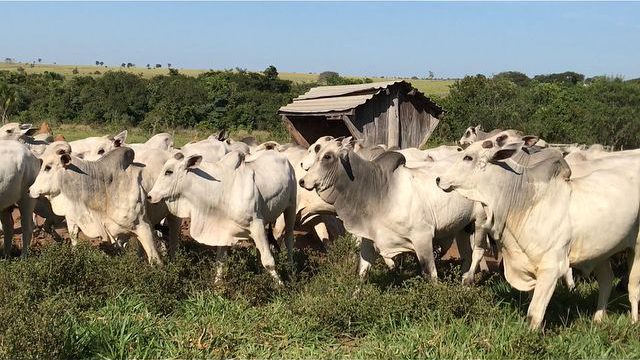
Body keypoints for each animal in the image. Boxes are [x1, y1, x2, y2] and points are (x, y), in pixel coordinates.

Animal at [149, 150, 298, 284]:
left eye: (168, 172)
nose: (150, 196)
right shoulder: (223, 230)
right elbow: (220, 260)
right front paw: (217, 285)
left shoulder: (257, 225)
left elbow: (268, 261)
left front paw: (280, 285)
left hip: (291, 206)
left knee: (289, 238)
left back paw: (291, 267)